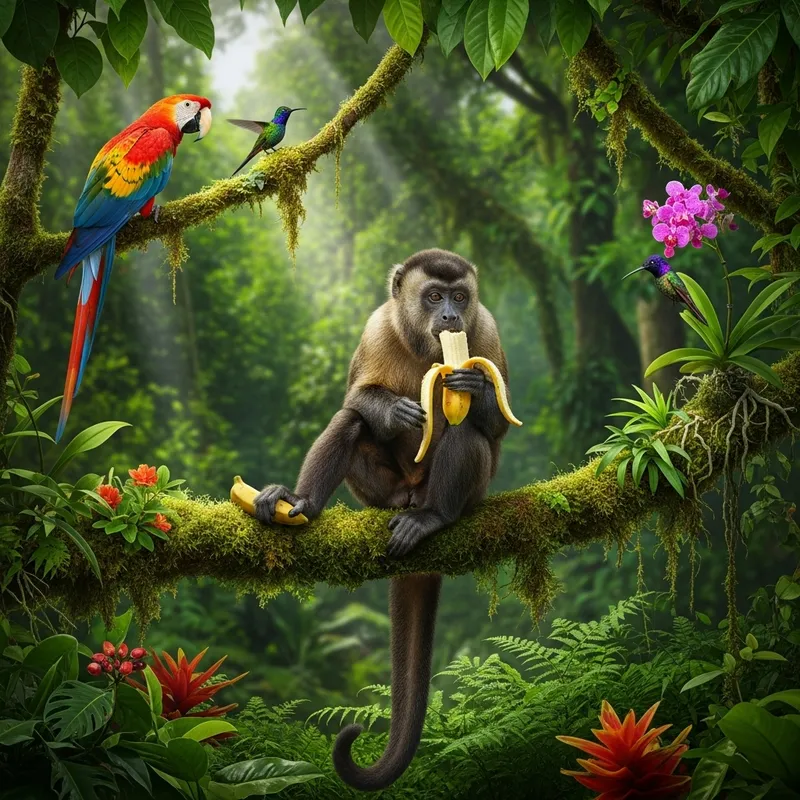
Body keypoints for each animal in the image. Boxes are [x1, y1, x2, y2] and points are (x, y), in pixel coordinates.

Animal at [254, 249, 512, 791]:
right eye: (433, 296)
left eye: (461, 297)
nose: (450, 317)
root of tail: (411, 495)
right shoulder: (376, 327)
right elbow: (355, 398)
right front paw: (393, 410)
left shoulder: (487, 329)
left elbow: (497, 422)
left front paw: (476, 387)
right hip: (383, 491)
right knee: (351, 422)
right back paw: (302, 503)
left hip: (462, 493)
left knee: (467, 435)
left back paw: (433, 516)